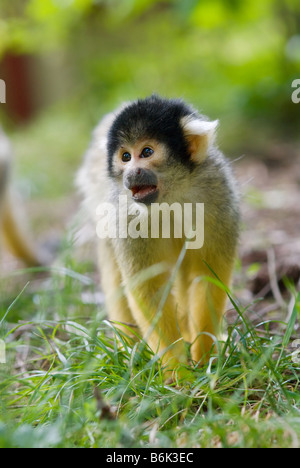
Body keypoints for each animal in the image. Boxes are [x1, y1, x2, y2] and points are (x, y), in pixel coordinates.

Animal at [77, 97, 239, 374]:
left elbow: (207, 275)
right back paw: (128, 349)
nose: (132, 172)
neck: (169, 197)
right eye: (126, 157)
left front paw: (204, 355)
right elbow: (148, 288)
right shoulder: (124, 213)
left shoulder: (216, 192)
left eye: (146, 153)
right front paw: (176, 369)